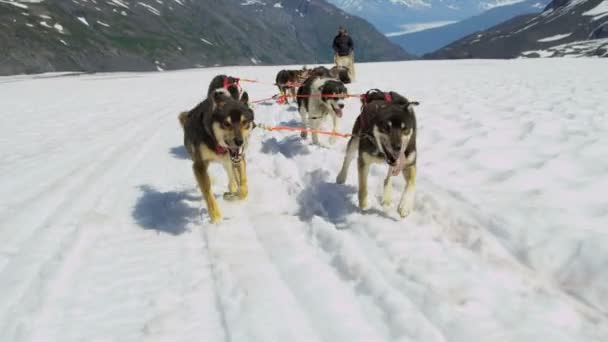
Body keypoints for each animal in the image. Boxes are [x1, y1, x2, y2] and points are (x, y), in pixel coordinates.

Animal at [178, 86, 254, 224]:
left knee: (232, 177)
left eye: (245, 122)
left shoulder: (239, 158)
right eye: (227, 124)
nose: (239, 141)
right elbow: (207, 192)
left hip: (228, 162)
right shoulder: (199, 165)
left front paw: (232, 196)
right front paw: (215, 216)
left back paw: (232, 188)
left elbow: (244, 189)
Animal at [338, 88, 418, 216]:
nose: (398, 147)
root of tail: (379, 94)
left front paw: (405, 205)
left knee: (388, 178)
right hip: (355, 139)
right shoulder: (364, 160)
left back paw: (387, 197)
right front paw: (363, 203)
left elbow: (411, 183)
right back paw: (341, 176)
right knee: (347, 159)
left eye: (404, 128)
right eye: (386, 127)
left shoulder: (409, 162)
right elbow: (363, 185)